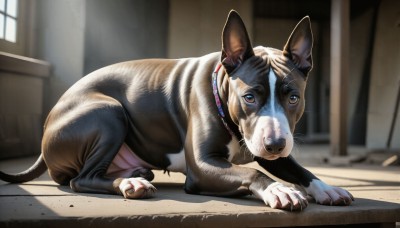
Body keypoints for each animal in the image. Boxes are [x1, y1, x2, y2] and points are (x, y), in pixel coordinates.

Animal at [0, 10, 352, 210]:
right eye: (250, 97)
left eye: (293, 98)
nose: (275, 144)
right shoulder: (203, 166)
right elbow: (252, 172)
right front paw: (280, 189)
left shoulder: (269, 148)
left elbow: (300, 170)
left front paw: (327, 188)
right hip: (108, 112)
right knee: (80, 179)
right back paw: (130, 184)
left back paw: (133, 174)